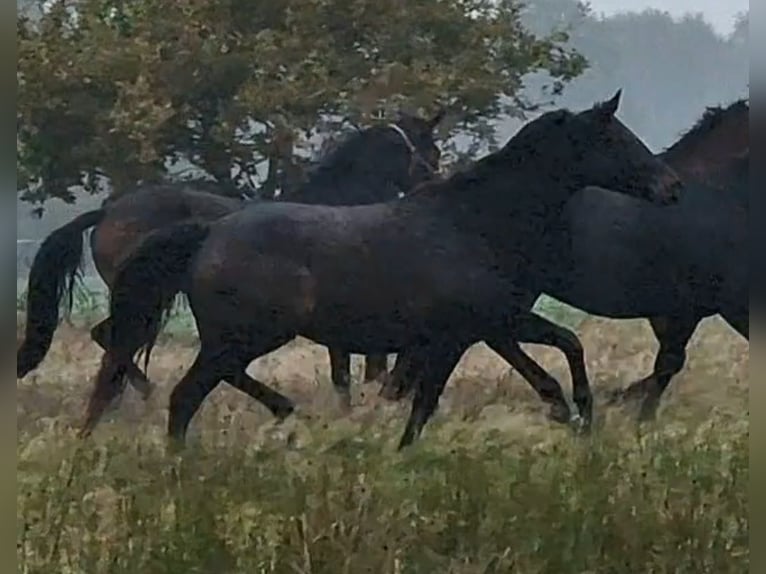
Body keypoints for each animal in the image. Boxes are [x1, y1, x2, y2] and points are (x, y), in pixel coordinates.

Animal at [16, 111, 444, 397]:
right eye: (433, 150)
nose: (433, 181)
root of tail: (109, 211)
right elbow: (348, 373)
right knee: (111, 336)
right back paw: (148, 393)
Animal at [84, 90, 683, 449]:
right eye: (614, 139)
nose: (671, 186)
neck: (475, 224)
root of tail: (210, 232)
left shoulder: (485, 327)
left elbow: (561, 347)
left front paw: (575, 411)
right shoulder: (468, 332)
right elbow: (427, 400)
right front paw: (578, 412)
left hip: (237, 339)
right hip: (243, 336)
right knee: (185, 396)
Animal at [384, 98, 748, 426]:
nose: (671, 188)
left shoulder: (684, 310)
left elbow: (668, 363)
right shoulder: (719, 305)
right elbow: (670, 364)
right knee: (493, 337)